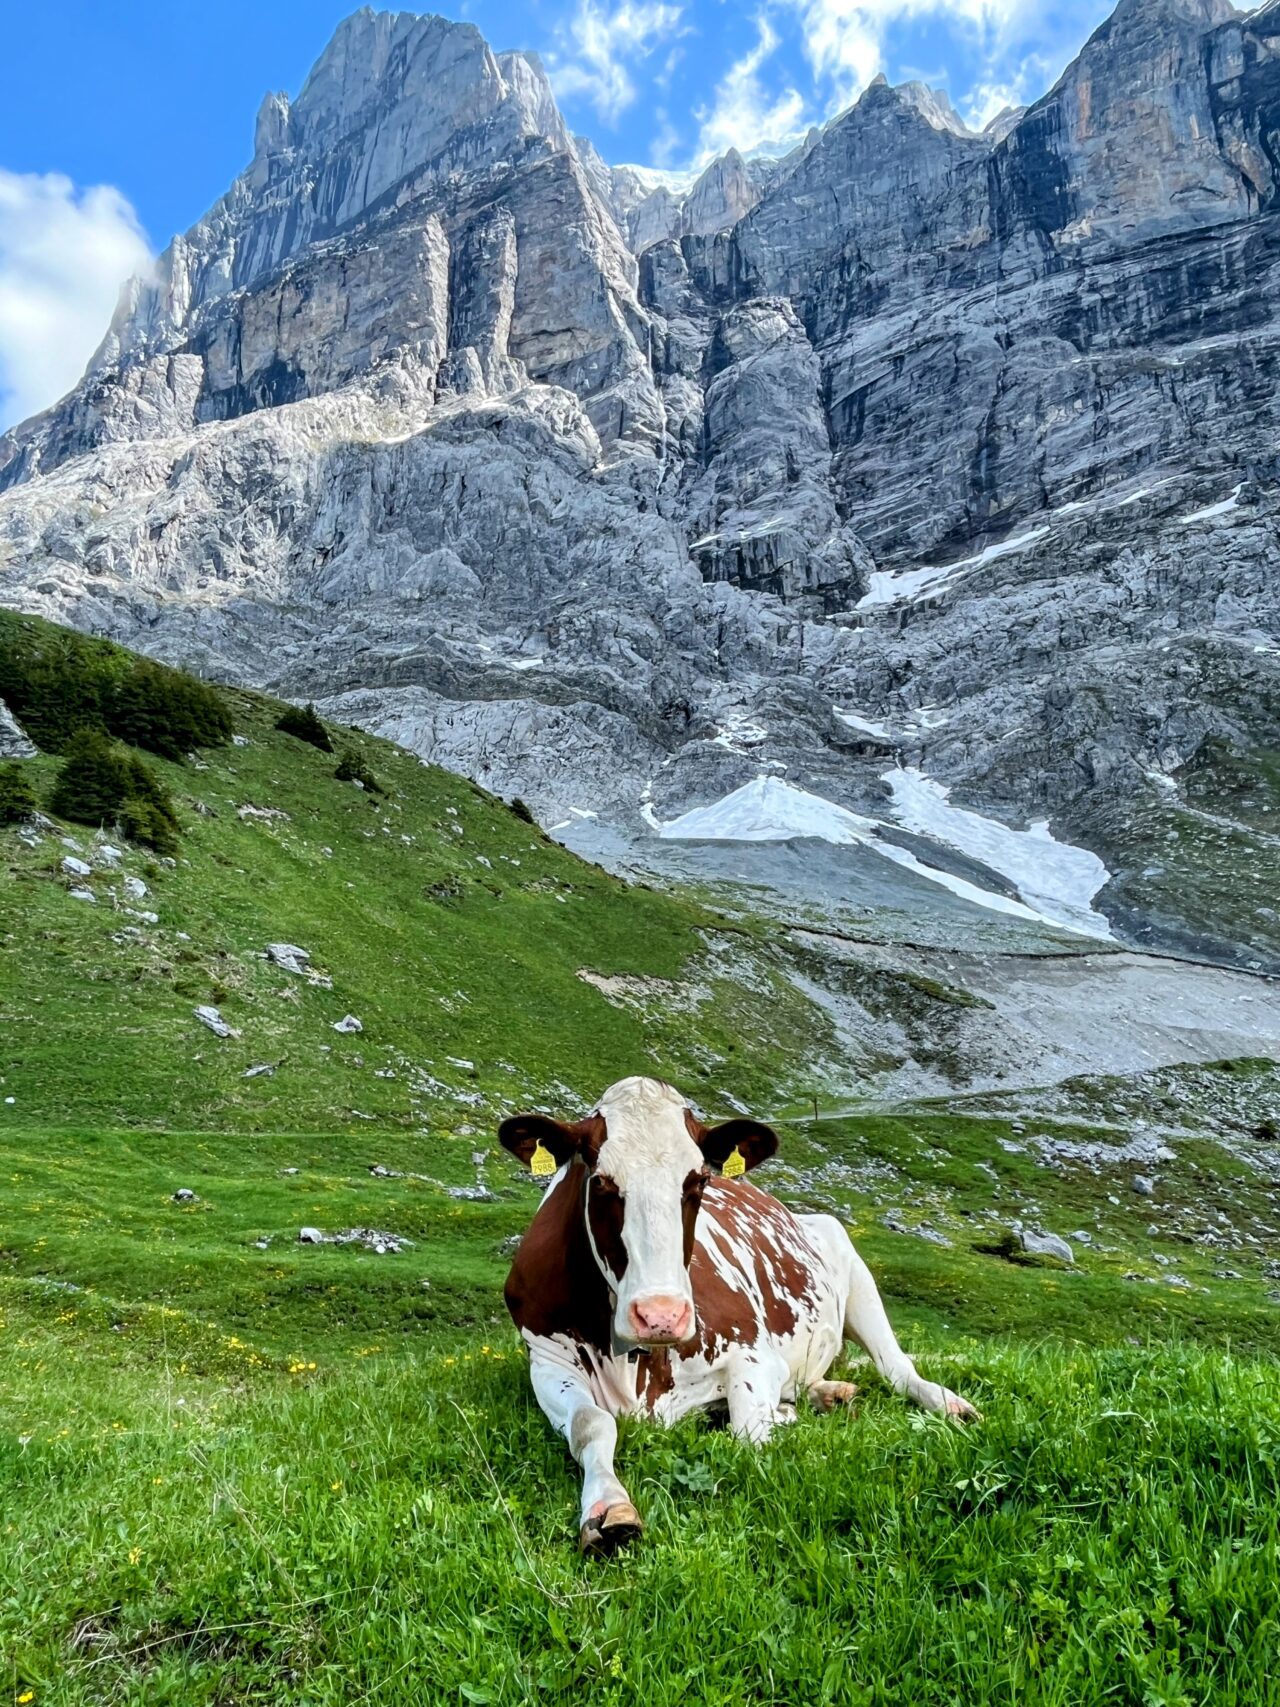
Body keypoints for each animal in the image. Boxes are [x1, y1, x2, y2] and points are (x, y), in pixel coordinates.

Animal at [505, 1078, 983, 1563]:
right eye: (601, 1180)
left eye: (698, 1181)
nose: (661, 1315)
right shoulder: (546, 1359)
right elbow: (591, 1424)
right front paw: (609, 1507)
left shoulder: (753, 1351)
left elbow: (749, 1430)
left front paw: (778, 1418)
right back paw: (829, 1393)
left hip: (854, 1270)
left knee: (896, 1367)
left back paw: (949, 1405)